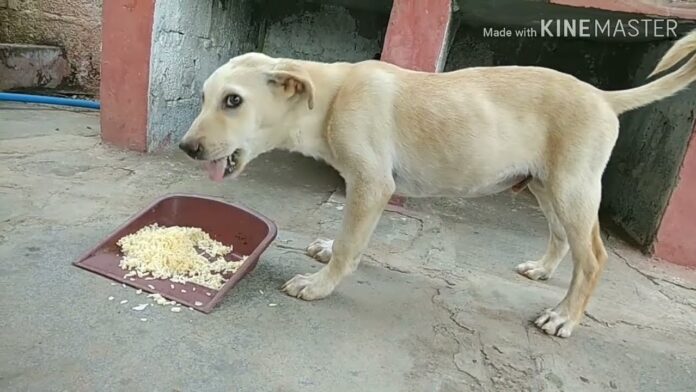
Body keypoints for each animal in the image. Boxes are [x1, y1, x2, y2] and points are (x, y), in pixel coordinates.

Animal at [178, 29, 696, 336]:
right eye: (204, 97)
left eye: (233, 101)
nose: (187, 148)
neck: (329, 99)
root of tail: (604, 97)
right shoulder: (363, 188)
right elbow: (348, 239)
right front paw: (326, 250)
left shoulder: (372, 185)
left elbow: (351, 245)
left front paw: (320, 284)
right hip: (543, 184)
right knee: (562, 238)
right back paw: (542, 270)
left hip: (572, 187)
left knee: (594, 257)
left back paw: (565, 316)